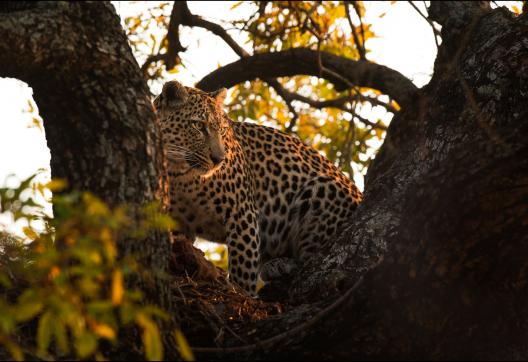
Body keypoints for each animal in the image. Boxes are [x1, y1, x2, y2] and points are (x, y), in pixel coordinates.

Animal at [153, 80, 364, 296]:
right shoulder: (178, 222)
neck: (179, 173)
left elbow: (243, 268)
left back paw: (283, 265)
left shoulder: (241, 213)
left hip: (321, 189)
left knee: (312, 258)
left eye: (222, 130)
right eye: (198, 126)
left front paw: (241, 292)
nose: (219, 159)